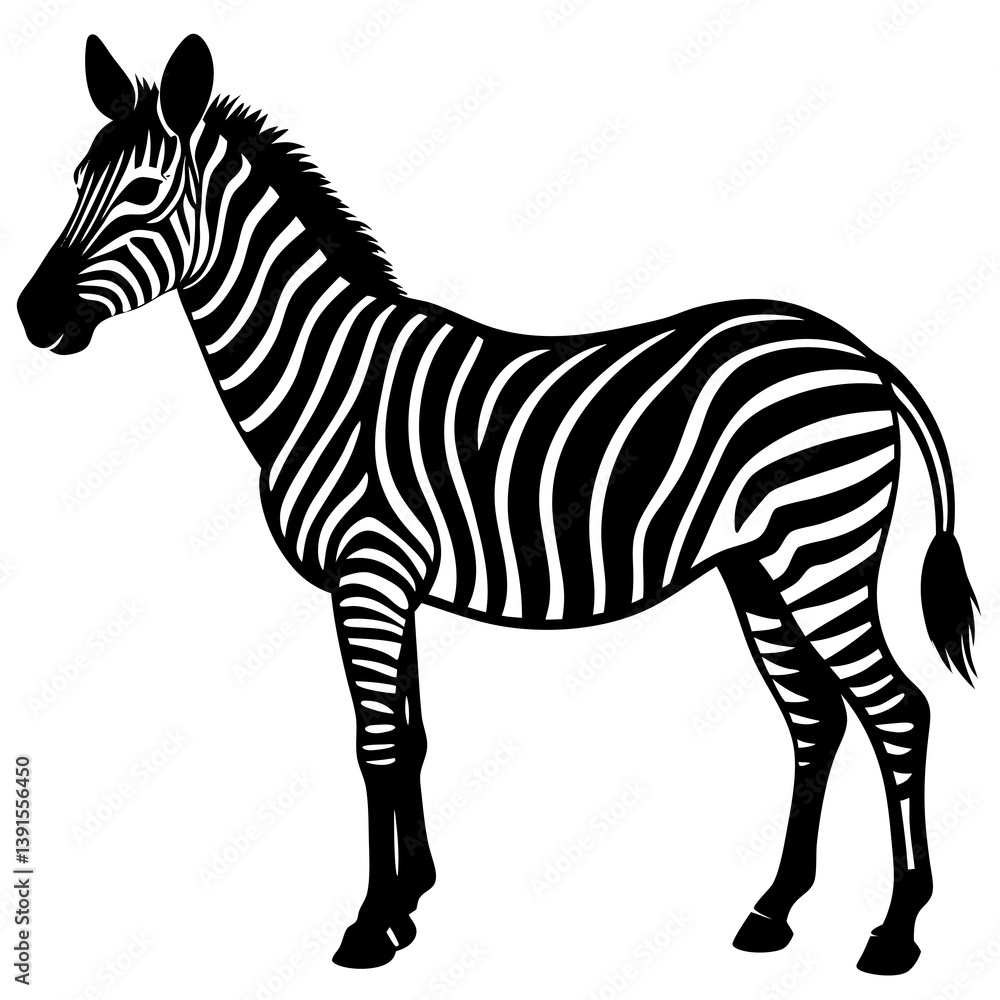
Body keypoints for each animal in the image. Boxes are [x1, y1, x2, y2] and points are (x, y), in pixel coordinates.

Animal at [18, 34, 978, 975]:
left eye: (143, 192)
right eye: (74, 181)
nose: (31, 315)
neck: (323, 377)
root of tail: (855, 350)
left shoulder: (368, 573)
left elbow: (374, 745)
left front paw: (369, 926)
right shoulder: (389, 584)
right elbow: (410, 739)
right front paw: (410, 902)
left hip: (820, 553)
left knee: (899, 711)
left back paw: (895, 933)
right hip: (758, 566)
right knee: (816, 717)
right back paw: (773, 912)